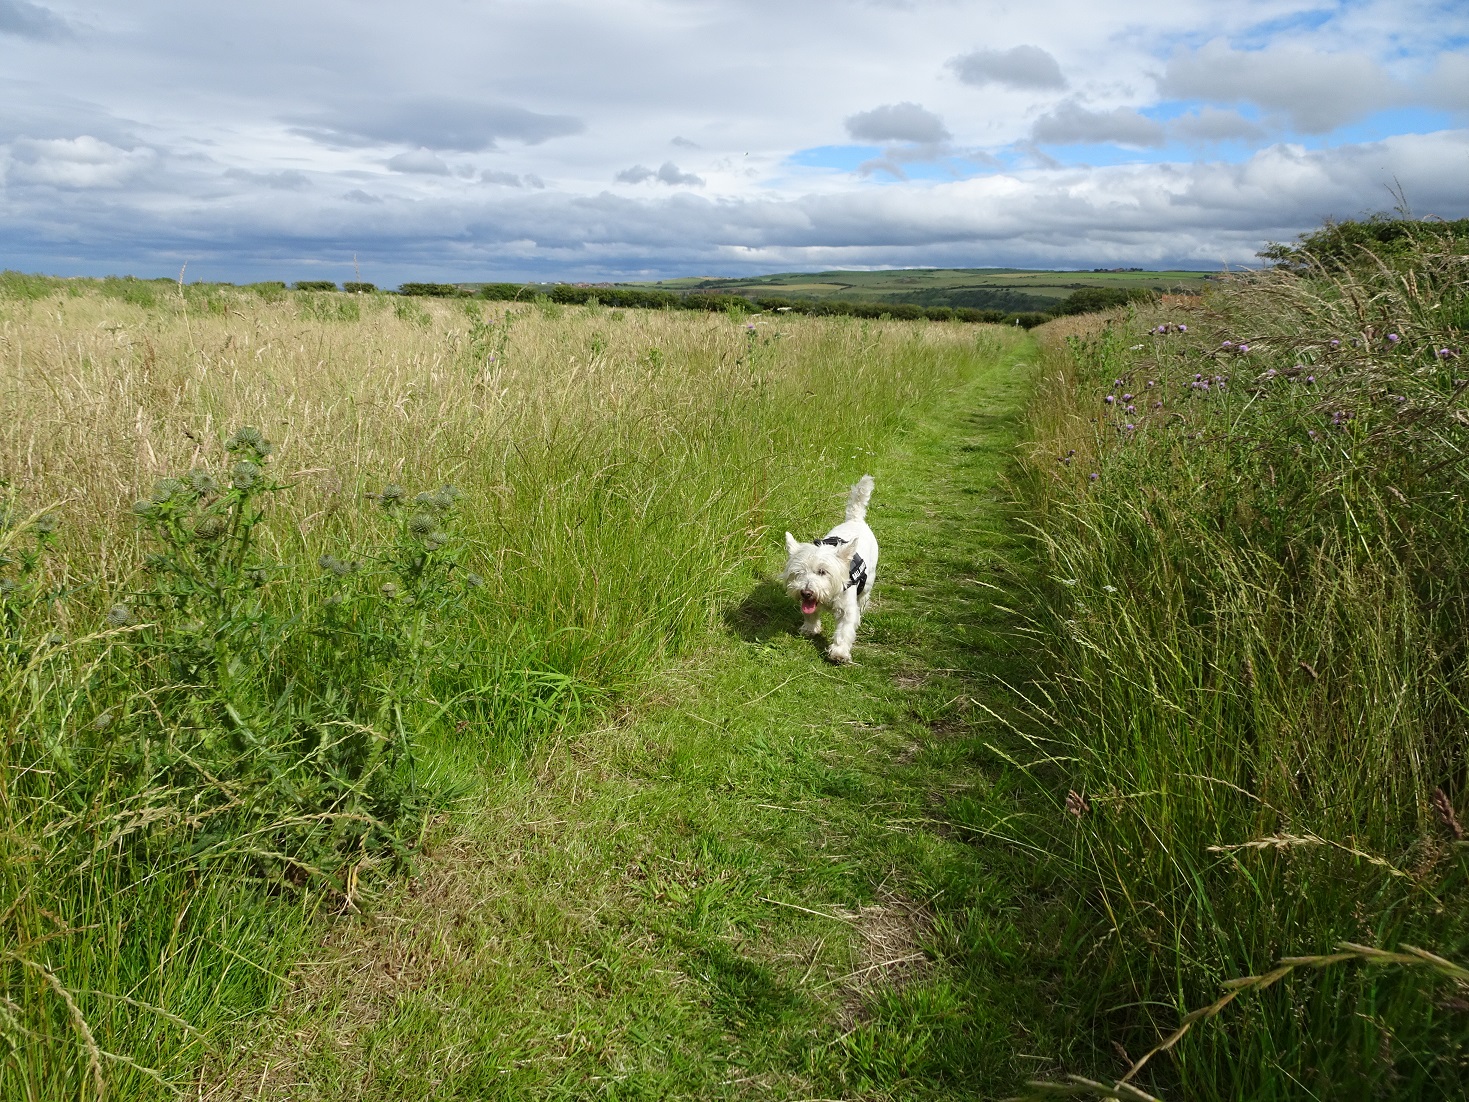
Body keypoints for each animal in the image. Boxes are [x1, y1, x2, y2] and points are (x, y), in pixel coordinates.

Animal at [787, 476, 875, 664]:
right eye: (798, 573)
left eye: (822, 571)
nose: (806, 592)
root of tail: (855, 520)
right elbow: (810, 614)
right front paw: (810, 628)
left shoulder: (847, 609)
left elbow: (844, 629)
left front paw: (839, 652)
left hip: (869, 580)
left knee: (864, 597)